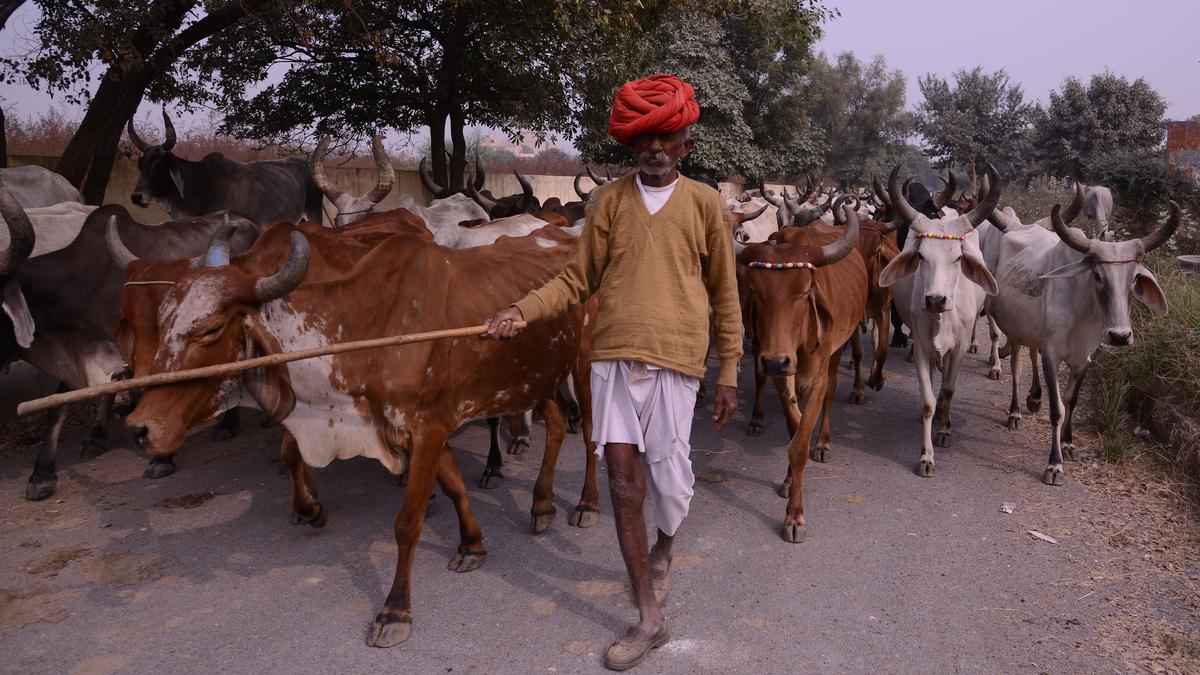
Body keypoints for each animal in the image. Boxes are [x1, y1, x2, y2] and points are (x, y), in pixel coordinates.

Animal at [121, 220, 600, 648]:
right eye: (163, 320)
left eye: (211, 330)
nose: (141, 426)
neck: (373, 325)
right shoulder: (421, 428)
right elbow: (455, 487)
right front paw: (472, 545)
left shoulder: (427, 428)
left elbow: (407, 523)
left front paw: (395, 612)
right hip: (538, 378)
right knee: (558, 423)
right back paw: (542, 504)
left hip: (585, 364)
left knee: (593, 435)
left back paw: (585, 504)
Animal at [734, 206, 868, 540]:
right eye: (755, 290)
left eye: (805, 290)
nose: (774, 361)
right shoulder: (783, 376)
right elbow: (794, 434)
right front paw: (787, 482)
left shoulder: (816, 377)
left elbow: (801, 444)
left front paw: (795, 516)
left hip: (837, 351)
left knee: (832, 394)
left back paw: (823, 443)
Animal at [873, 163, 1003, 475]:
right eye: (921, 256)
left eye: (957, 257)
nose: (935, 300)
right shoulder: (921, 347)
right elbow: (928, 401)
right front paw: (926, 457)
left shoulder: (958, 347)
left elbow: (949, 390)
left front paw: (944, 430)